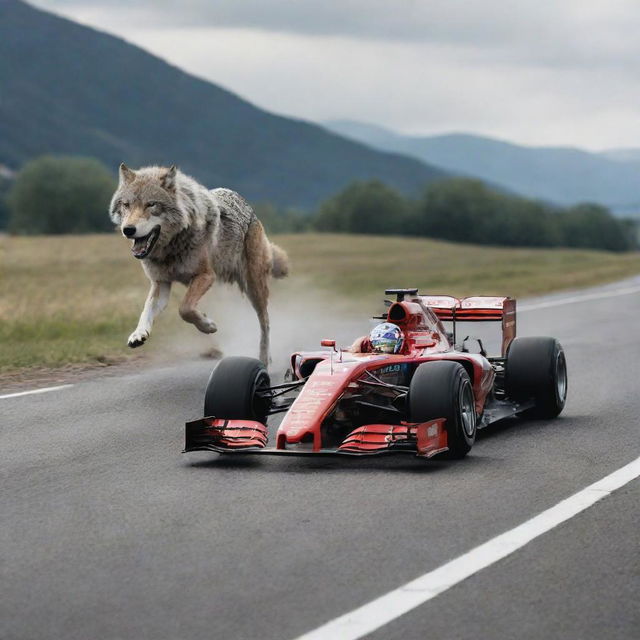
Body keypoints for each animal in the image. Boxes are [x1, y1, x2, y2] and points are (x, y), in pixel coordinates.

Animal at [110, 164, 290, 364]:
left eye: (151, 204)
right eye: (126, 205)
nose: (128, 229)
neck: (171, 248)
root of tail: (248, 206)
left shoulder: (205, 275)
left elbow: (185, 308)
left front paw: (208, 325)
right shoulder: (160, 283)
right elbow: (146, 310)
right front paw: (138, 334)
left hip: (254, 287)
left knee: (265, 322)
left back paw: (264, 359)